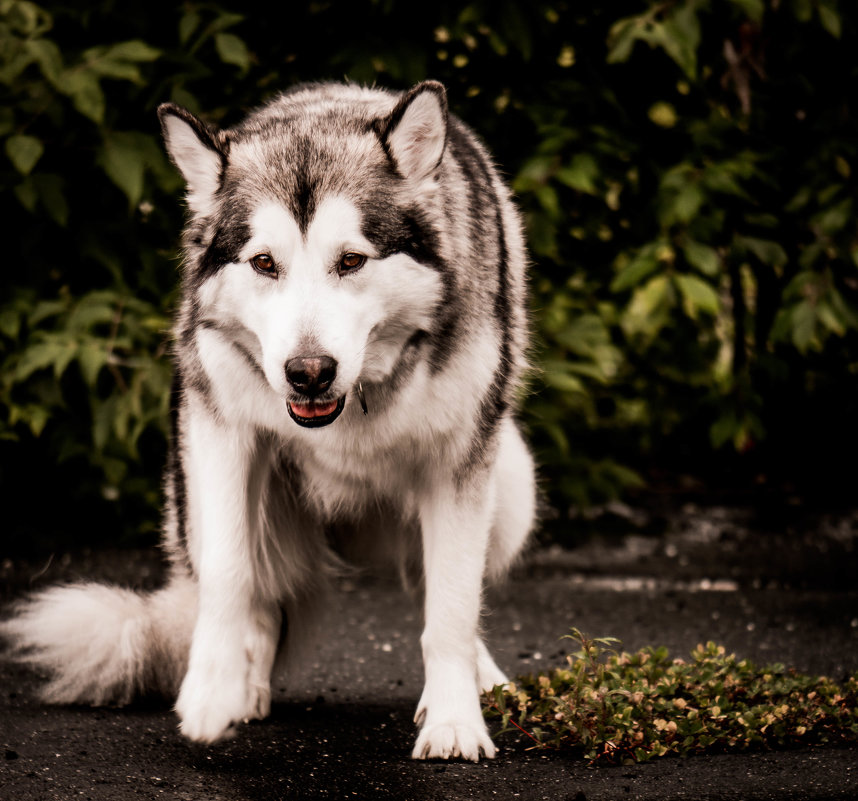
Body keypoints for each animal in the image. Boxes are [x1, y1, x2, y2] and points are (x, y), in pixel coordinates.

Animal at [1, 81, 536, 764]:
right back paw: (245, 685)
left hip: (512, 484)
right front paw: (211, 694)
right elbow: (231, 577)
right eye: (263, 263)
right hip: (202, 489)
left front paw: (454, 722)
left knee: (434, 583)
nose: (308, 372)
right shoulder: (225, 435)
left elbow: (451, 607)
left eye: (351, 261)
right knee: (255, 588)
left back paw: (481, 677)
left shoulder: (460, 462)